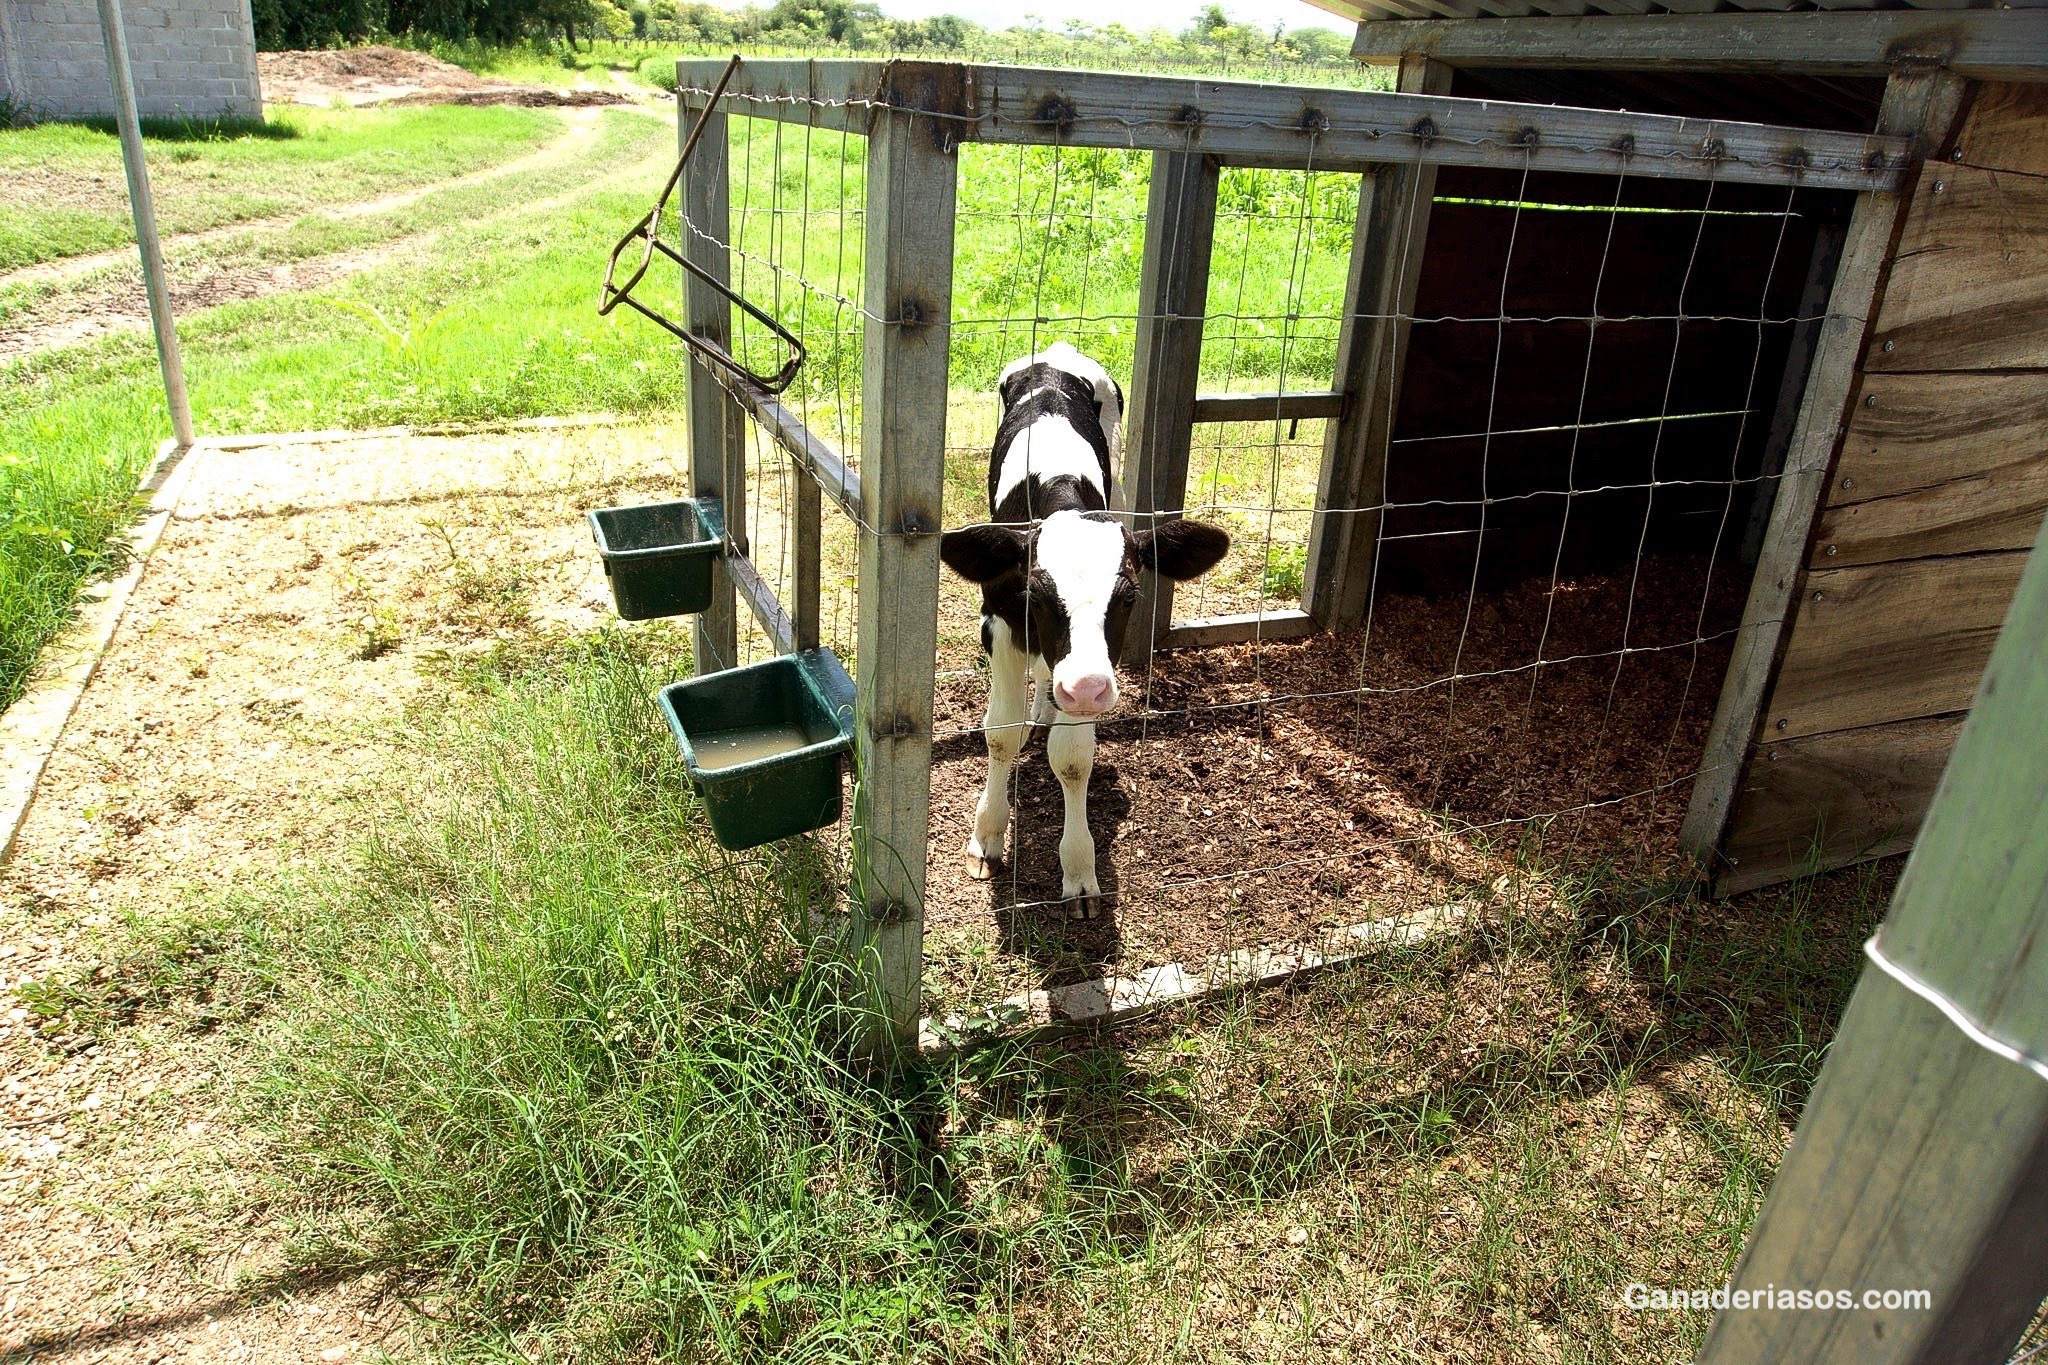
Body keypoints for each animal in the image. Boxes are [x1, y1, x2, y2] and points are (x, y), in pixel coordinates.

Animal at [942, 343, 1228, 916]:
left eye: (1129, 598)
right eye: (1035, 595)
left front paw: (1078, 871)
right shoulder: (999, 621)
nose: (1085, 689)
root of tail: (1058, 353)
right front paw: (987, 836)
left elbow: (1073, 760)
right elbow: (1000, 733)